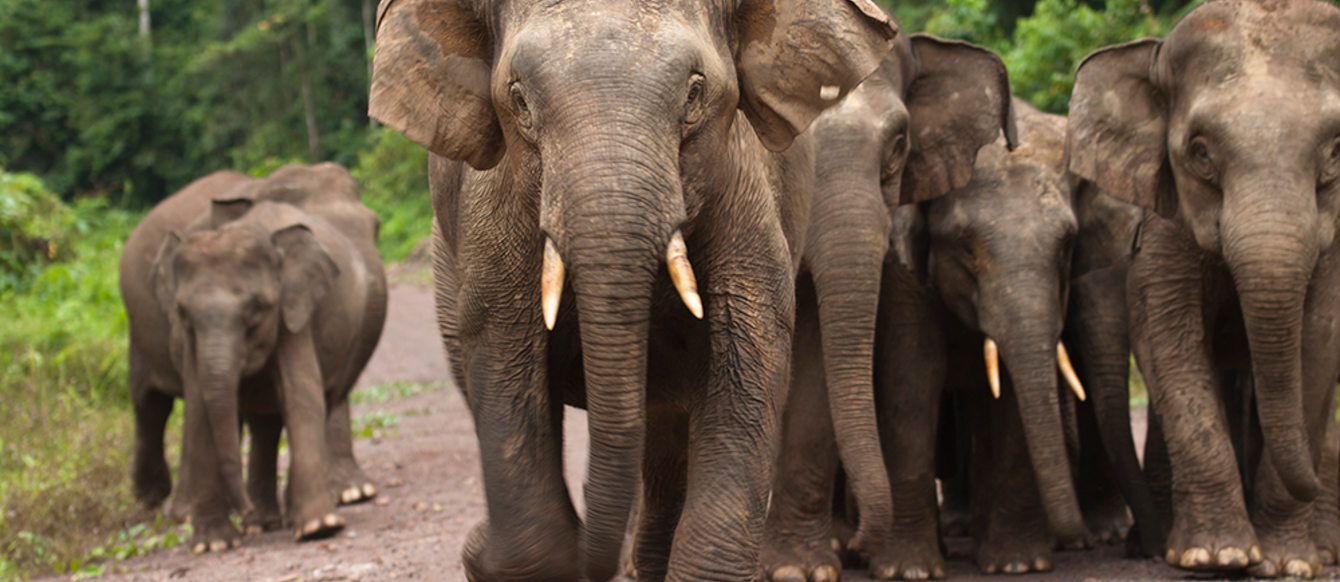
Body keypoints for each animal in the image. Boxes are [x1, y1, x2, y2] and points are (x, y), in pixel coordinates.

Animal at [118, 162, 391, 549]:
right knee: (150, 404)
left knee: (268, 418)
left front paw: (325, 519)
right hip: (139, 327)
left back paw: (262, 519)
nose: (241, 507)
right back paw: (164, 505)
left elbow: (302, 394)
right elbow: (200, 407)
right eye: (183, 312)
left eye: (376, 227)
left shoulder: (297, 313)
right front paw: (214, 543)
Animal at [364, 1, 900, 582]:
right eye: (519, 99)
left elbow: (749, 353)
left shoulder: (744, 187)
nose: (861, 548)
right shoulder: (491, 210)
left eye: (694, 92)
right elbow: (503, 355)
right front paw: (503, 555)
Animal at [1066, 0, 1340, 573]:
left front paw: (1287, 565)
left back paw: (1324, 548)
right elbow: (1170, 337)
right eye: (1199, 152)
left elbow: (1321, 339)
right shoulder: (1166, 223)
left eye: (1335, 151)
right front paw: (1217, 556)